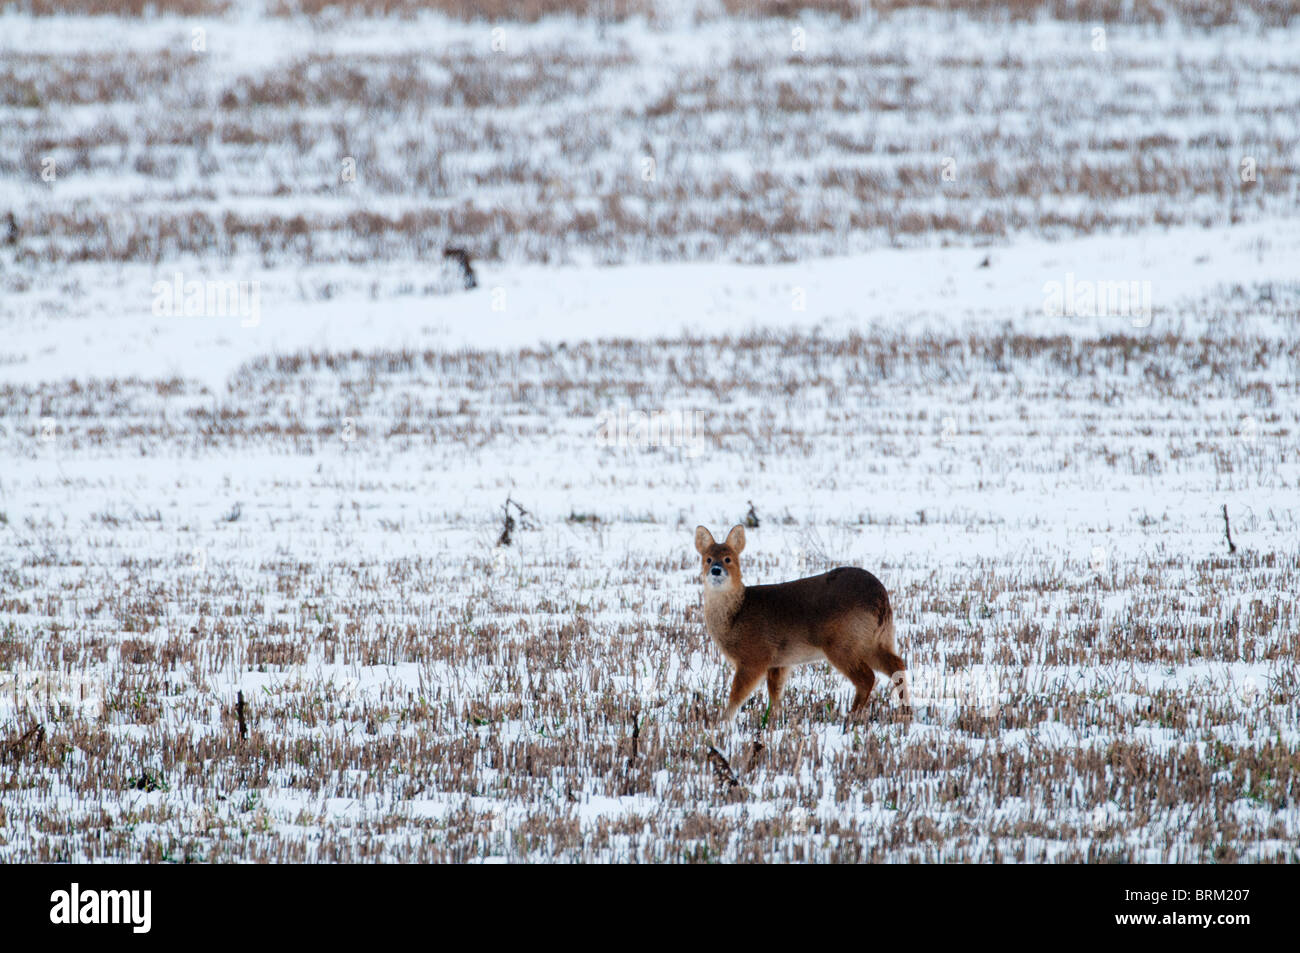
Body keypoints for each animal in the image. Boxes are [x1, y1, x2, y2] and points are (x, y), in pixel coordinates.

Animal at [696, 520, 909, 722]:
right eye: (707, 559)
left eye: (728, 559)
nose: (716, 570)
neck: (735, 616)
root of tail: (881, 598)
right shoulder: (779, 662)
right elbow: (775, 696)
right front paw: (774, 721)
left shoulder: (755, 657)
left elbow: (736, 696)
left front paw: (722, 723)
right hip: (877, 638)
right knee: (897, 664)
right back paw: (905, 710)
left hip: (843, 642)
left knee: (867, 677)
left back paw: (851, 715)